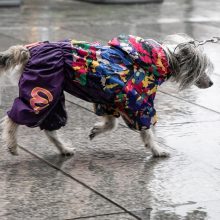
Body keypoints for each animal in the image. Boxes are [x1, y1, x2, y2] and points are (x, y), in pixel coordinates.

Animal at [0, 33, 213, 156]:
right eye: (201, 70)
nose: (211, 83)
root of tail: (28, 49)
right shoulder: (138, 104)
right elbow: (146, 131)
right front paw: (157, 150)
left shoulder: (112, 99)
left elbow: (111, 124)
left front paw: (96, 130)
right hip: (41, 90)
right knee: (13, 119)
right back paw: (12, 145)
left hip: (53, 94)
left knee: (50, 128)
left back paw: (64, 149)